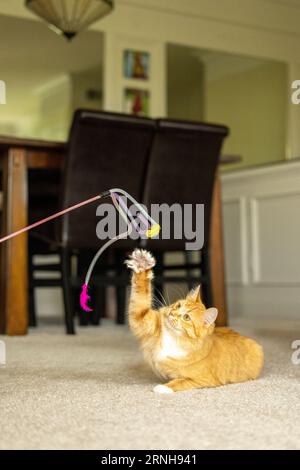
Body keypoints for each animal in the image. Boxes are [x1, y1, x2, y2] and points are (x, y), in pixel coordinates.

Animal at [125, 250, 264, 392]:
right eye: (178, 305)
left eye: (186, 317)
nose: (171, 313)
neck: (174, 338)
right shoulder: (141, 319)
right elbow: (140, 295)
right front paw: (142, 264)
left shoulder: (203, 380)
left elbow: (180, 382)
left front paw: (163, 388)